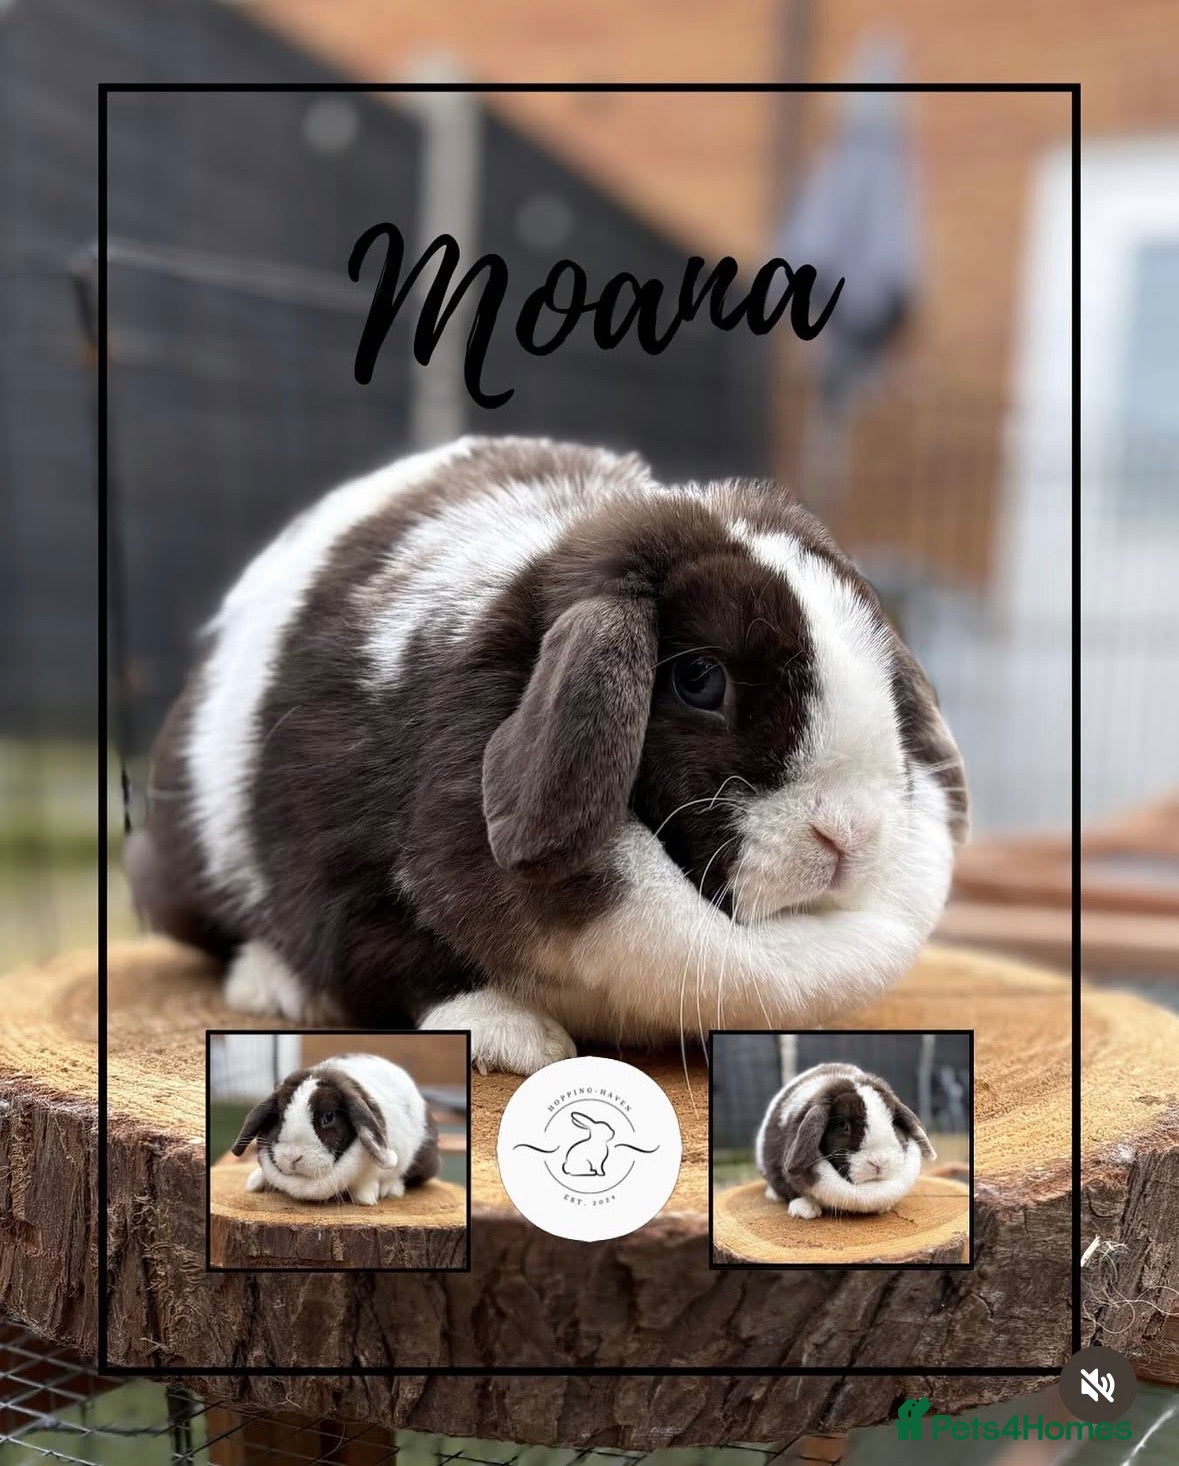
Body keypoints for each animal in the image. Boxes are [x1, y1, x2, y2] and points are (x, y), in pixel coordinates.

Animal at [127, 435, 968, 1075]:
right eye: (699, 679)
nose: (849, 836)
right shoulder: (339, 866)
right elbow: (394, 959)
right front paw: (514, 1037)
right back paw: (272, 986)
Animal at [229, 1053, 439, 1205]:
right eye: (280, 1115)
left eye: (328, 1117)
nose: (292, 1158)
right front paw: (256, 1182)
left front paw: (366, 1198)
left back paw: (390, 1189)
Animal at [755, 1061, 936, 1219]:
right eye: (843, 1125)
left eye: (893, 1122)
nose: (879, 1162)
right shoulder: (776, 1163)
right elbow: (789, 1185)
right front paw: (805, 1210)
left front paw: (885, 1206)